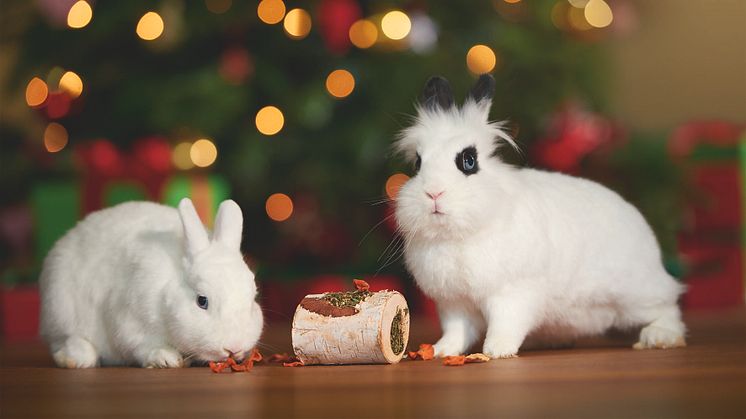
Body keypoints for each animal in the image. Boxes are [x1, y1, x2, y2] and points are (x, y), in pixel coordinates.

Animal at [40, 199, 264, 370]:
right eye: (202, 301)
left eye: (252, 299)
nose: (233, 347)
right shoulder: (129, 323)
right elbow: (143, 346)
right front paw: (167, 359)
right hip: (61, 310)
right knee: (68, 341)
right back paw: (73, 358)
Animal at [392, 74, 684, 358]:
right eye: (418, 163)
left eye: (469, 161)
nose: (433, 193)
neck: (459, 235)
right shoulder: (455, 304)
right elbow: (457, 331)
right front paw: (441, 350)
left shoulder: (512, 293)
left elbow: (505, 324)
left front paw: (498, 350)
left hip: (637, 296)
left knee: (668, 308)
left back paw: (659, 337)